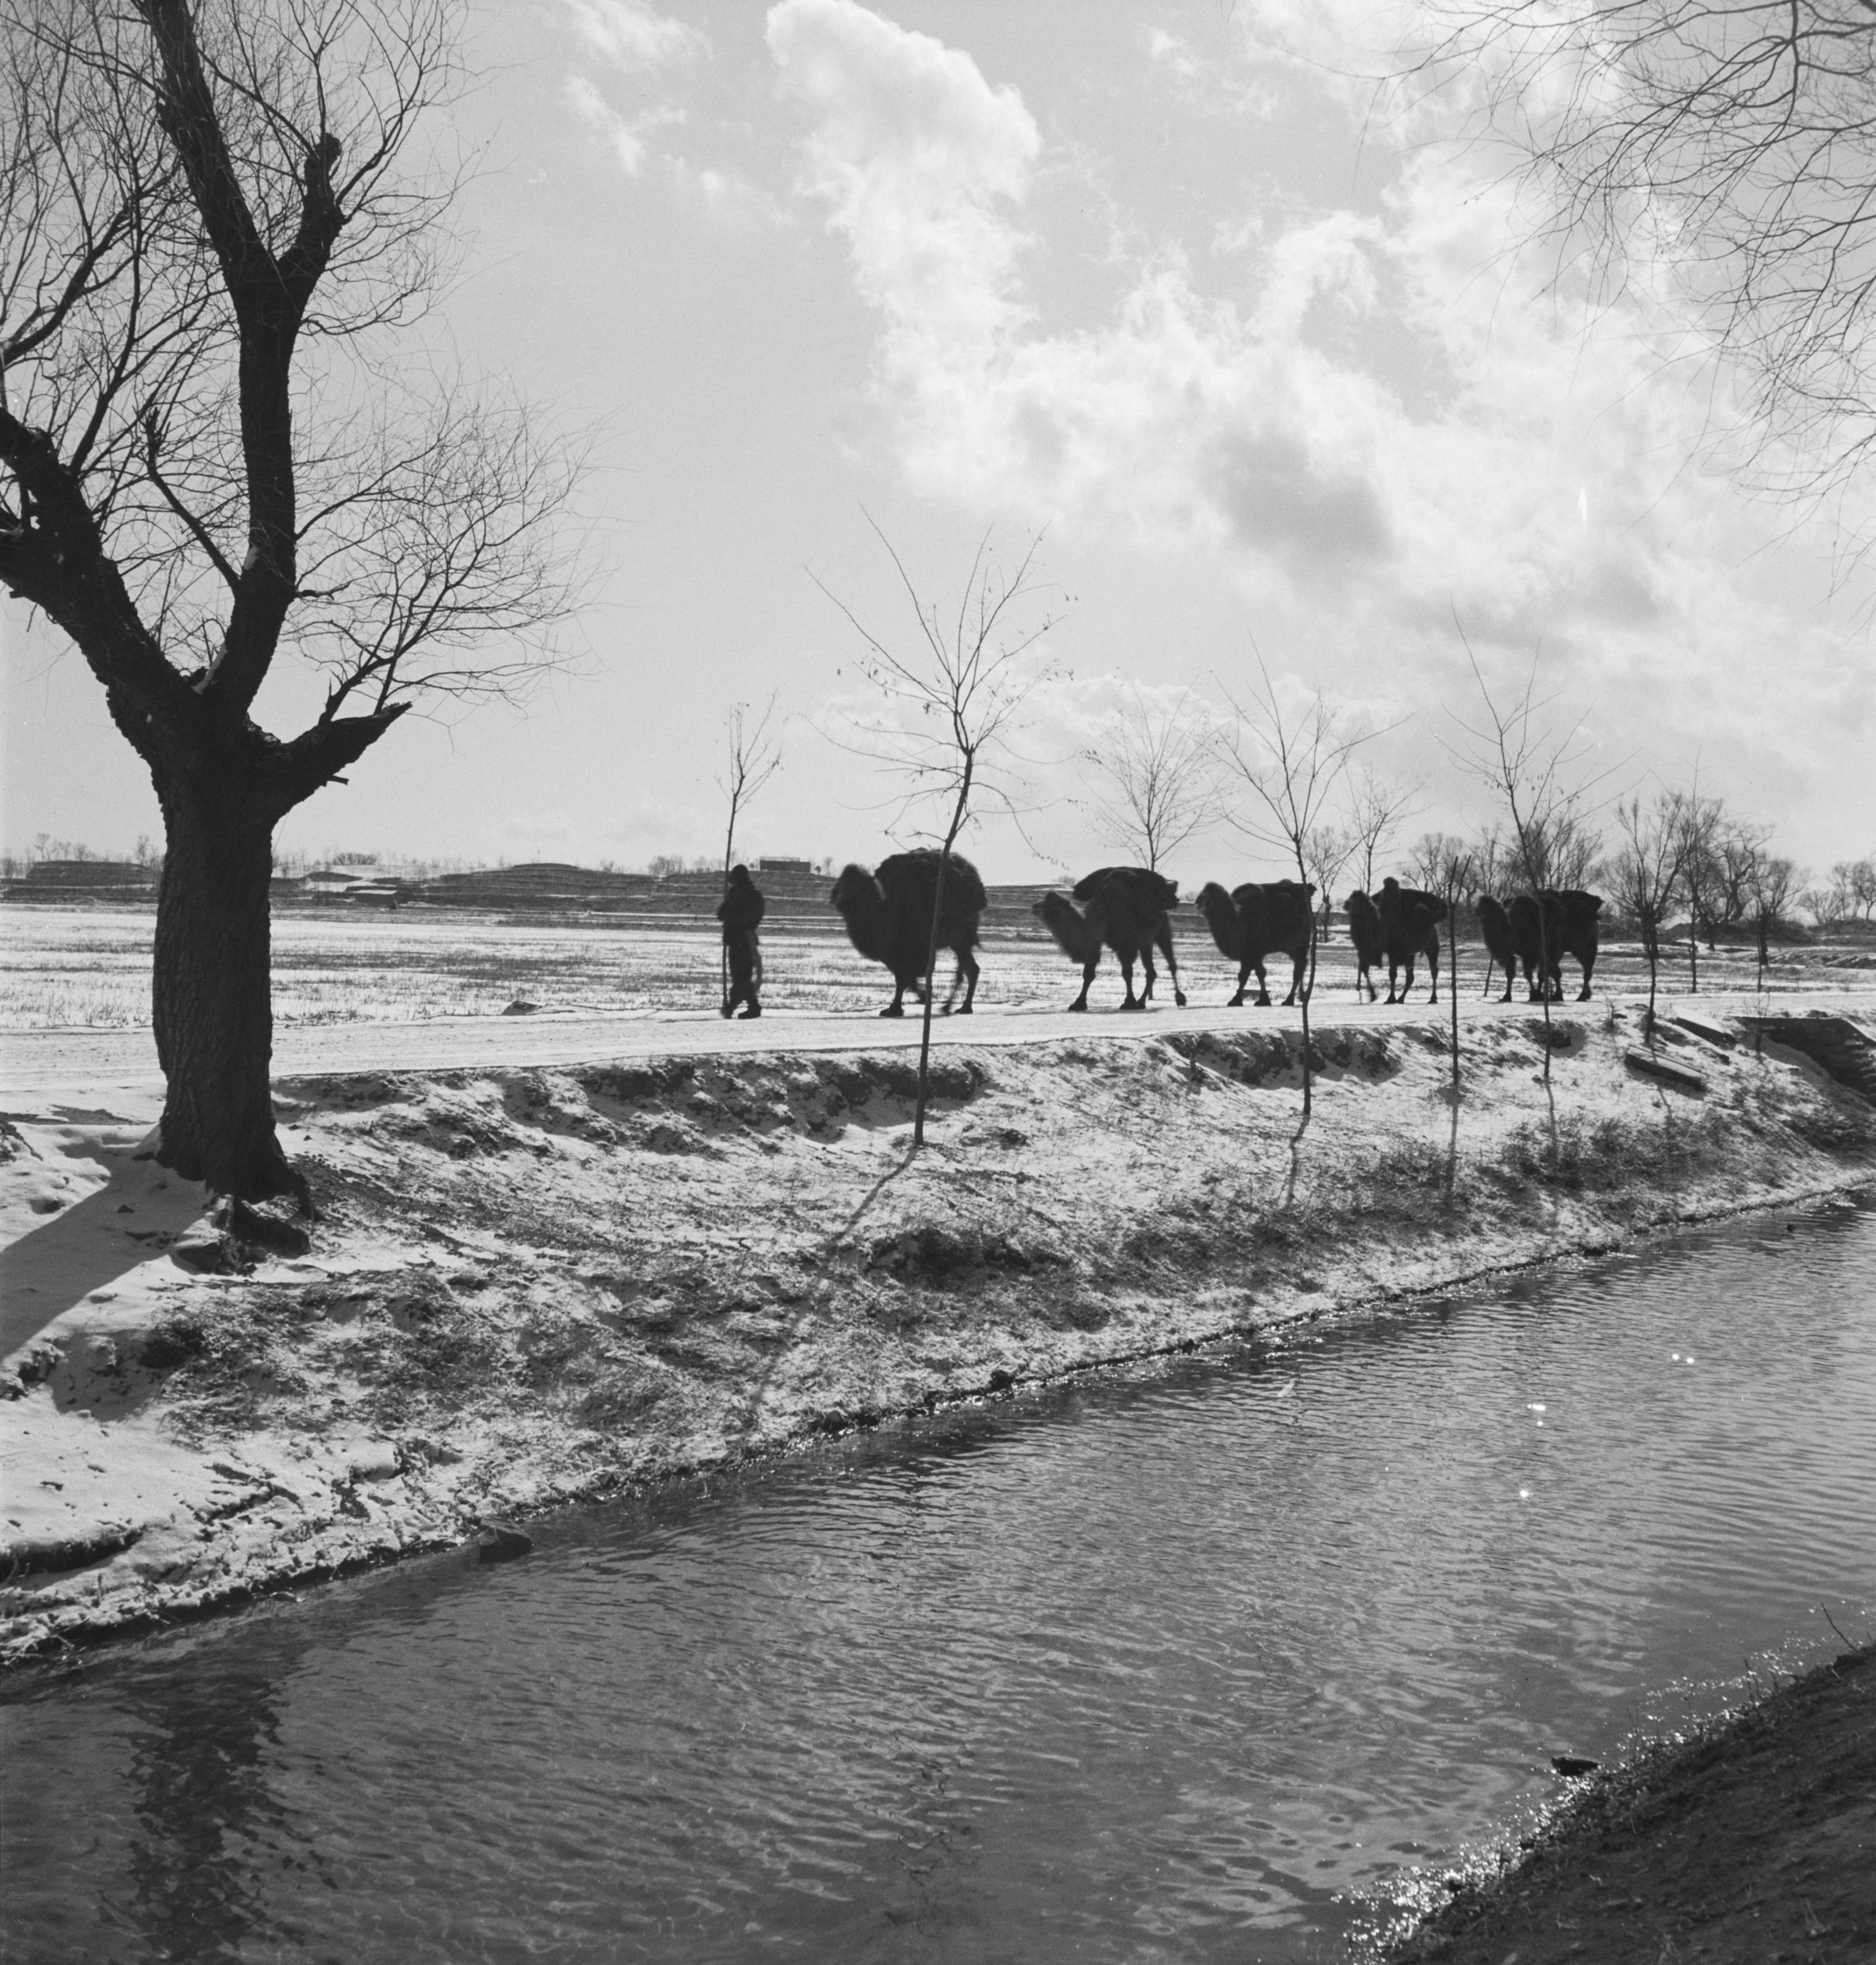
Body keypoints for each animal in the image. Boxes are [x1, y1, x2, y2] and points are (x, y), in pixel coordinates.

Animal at [829, 849, 990, 1021]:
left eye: (853, 883)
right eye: (841, 881)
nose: (835, 896)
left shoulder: (912, 948)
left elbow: (906, 979)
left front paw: (898, 1008)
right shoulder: (894, 953)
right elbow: (905, 978)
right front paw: (903, 1005)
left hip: (961, 940)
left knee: (968, 969)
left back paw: (956, 1007)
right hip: (958, 942)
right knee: (970, 968)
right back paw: (958, 1007)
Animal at [1029, 864, 1186, 1013]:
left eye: (1052, 906)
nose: (1034, 906)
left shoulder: (1126, 944)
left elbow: (1127, 973)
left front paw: (1128, 1003)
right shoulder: (1098, 941)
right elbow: (1088, 973)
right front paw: (1078, 1004)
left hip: (1162, 929)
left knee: (1171, 963)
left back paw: (1179, 999)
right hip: (1145, 942)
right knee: (1151, 971)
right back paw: (1141, 1003)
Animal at [1194, 880, 1312, 1006]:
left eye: (1213, 896)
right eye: (1202, 893)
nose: (1197, 903)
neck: (1240, 920)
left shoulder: (1256, 952)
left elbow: (1258, 973)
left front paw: (1262, 1000)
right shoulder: (1247, 954)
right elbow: (1244, 975)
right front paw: (1237, 1000)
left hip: (1300, 945)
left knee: (1298, 970)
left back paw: (1289, 1000)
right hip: (1292, 948)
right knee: (1301, 966)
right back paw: (1299, 996)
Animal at [1383, 876, 1453, 998]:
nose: (1445, 907)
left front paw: (1392, 998)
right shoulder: (1396, 955)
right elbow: (1393, 974)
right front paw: (1391, 998)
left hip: (1432, 949)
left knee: (1434, 971)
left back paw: (1433, 998)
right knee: (1411, 976)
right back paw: (1401, 998)